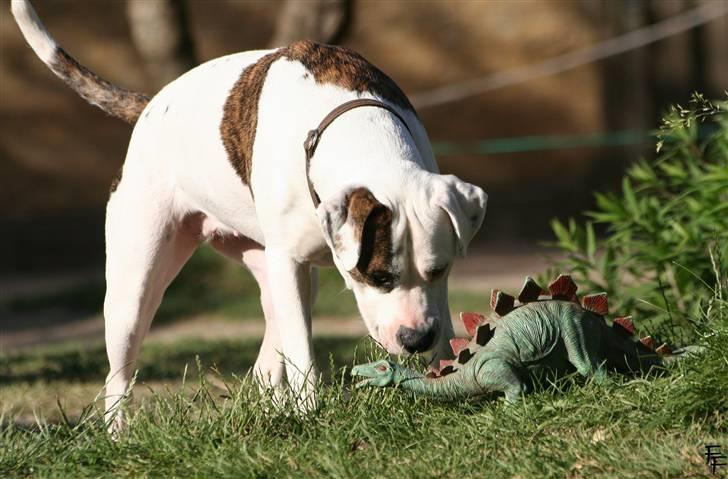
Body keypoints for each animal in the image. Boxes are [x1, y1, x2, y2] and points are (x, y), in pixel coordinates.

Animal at [11, 0, 486, 428]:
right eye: (378, 277)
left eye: (439, 271)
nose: (416, 338)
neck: (354, 127)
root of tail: (149, 105)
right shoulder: (290, 264)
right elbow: (301, 352)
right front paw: (312, 412)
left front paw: (448, 380)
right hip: (134, 288)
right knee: (119, 372)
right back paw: (118, 433)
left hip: (269, 267)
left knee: (266, 352)